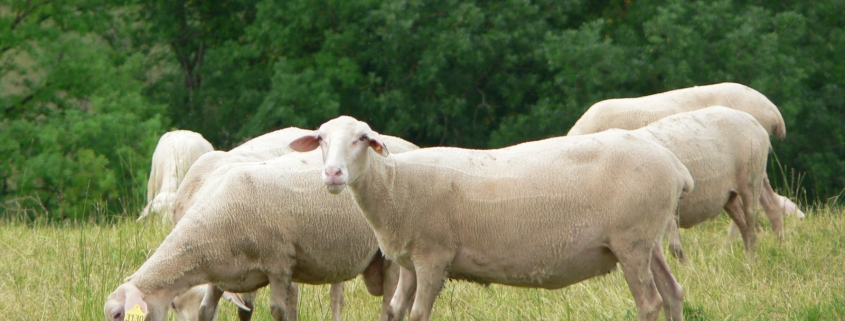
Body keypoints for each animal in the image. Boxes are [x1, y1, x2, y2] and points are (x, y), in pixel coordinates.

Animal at [105, 141, 418, 320]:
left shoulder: (279, 264)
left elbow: (280, 311)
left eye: (118, 314)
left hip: (390, 254)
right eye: (173, 307)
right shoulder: (223, 276)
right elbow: (209, 311)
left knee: (390, 306)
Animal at [288, 115, 692, 320]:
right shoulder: (408, 262)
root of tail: (674, 165)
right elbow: (394, 312)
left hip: (632, 240)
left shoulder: (434, 256)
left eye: (361, 138)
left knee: (650, 302)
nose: (333, 174)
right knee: (673, 293)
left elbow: (418, 314)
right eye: (321, 139)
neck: (395, 185)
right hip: (648, 238)